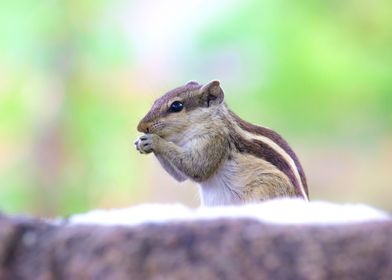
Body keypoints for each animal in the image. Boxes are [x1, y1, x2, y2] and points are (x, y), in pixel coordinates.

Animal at [135, 81, 310, 206]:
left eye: (176, 106)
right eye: (156, 101)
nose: (141, 127)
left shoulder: (215, 140)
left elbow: (197, 167)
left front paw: (154, 141)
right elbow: (181, 177)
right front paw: (140, 143)